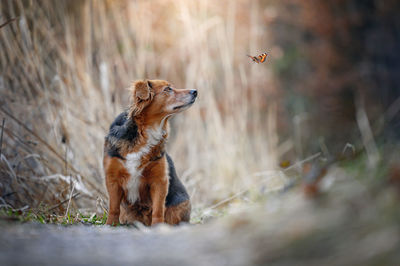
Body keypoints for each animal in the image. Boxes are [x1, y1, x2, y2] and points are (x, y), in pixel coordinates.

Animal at [103, 79, 197, 227]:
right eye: (167, 89)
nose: (195, 91)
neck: (146, 133)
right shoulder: (112, 178)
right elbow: (113, 207)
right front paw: (110, 224)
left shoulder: (159, 181)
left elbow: (158, 209)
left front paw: (158, 226)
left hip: (181, 205)